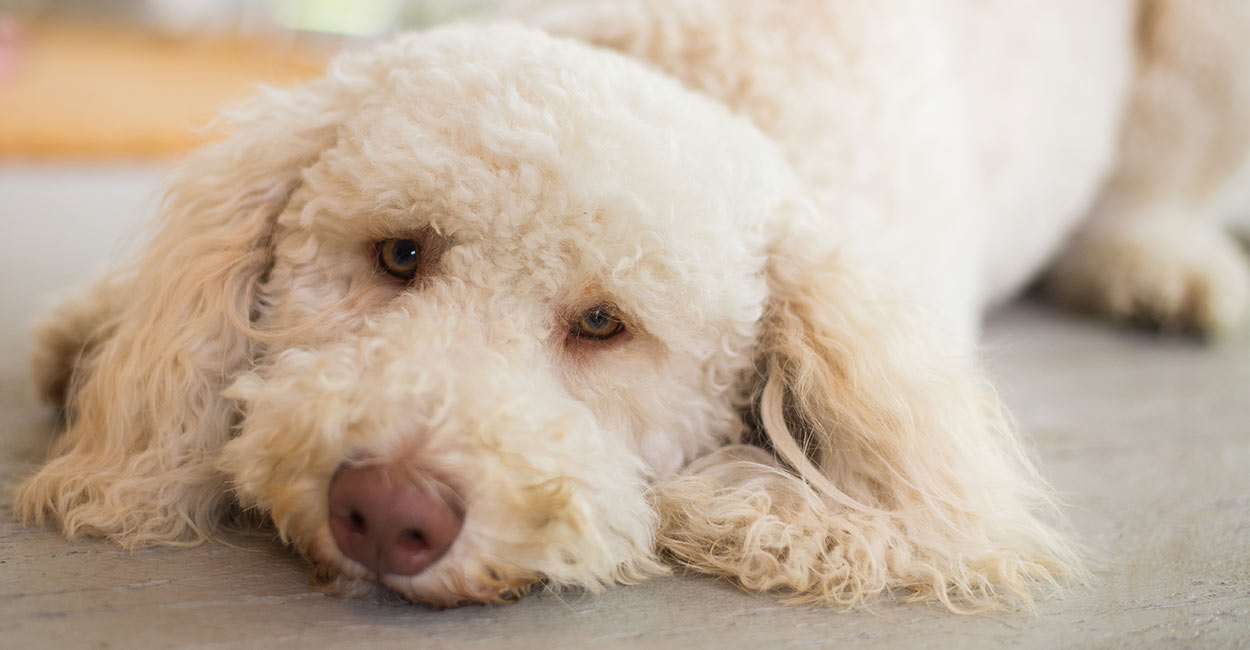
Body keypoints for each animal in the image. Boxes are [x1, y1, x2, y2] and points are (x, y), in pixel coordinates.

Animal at [12, 0, 1250, 610]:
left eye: (603, 325)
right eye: (399, 252)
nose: (386, 511)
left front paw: (744, 508)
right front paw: (94, 333)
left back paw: (1157, 265)